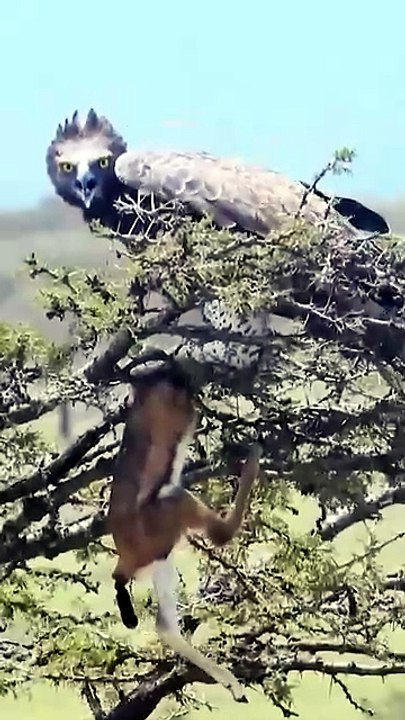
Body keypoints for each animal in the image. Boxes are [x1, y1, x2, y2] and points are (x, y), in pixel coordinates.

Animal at [107, 361, 261, 702]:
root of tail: (125, 556)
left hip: (161, 558)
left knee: (164, 626)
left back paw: (233, 684)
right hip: (174, 507)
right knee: (221, 534)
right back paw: (252, 456)